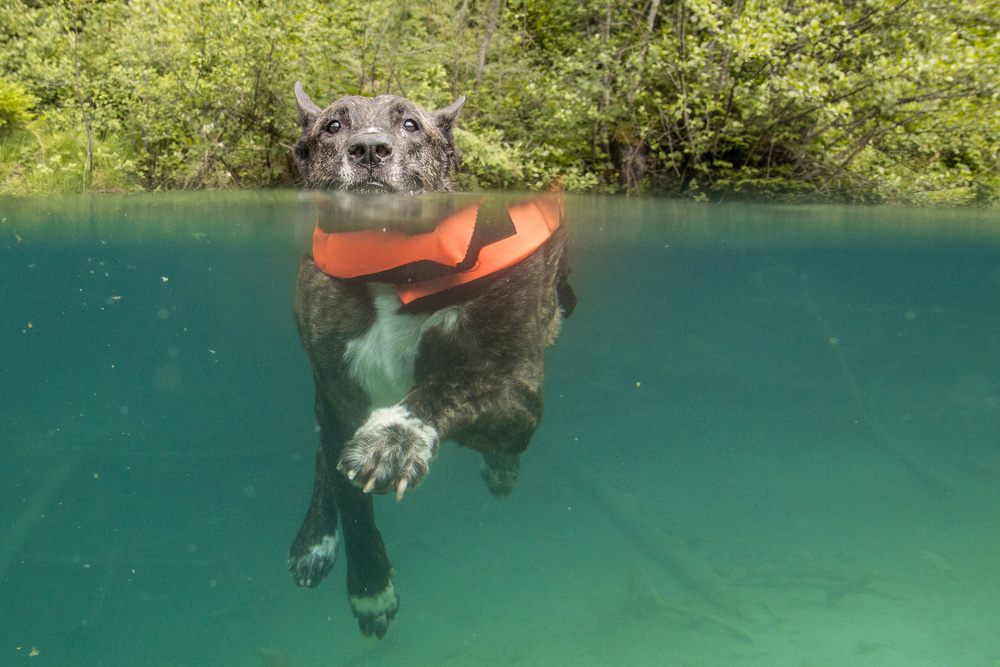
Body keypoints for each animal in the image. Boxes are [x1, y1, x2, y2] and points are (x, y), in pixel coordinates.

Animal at [287, 82, 575, 638]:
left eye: (411, 125)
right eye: (333, 125)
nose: (369, 149)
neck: (388, 265)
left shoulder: (520, 394)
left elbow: (454, 385)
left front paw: (396, 435)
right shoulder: (334, 388)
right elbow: (349, 495)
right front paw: (370, 586)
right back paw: (315, 540)